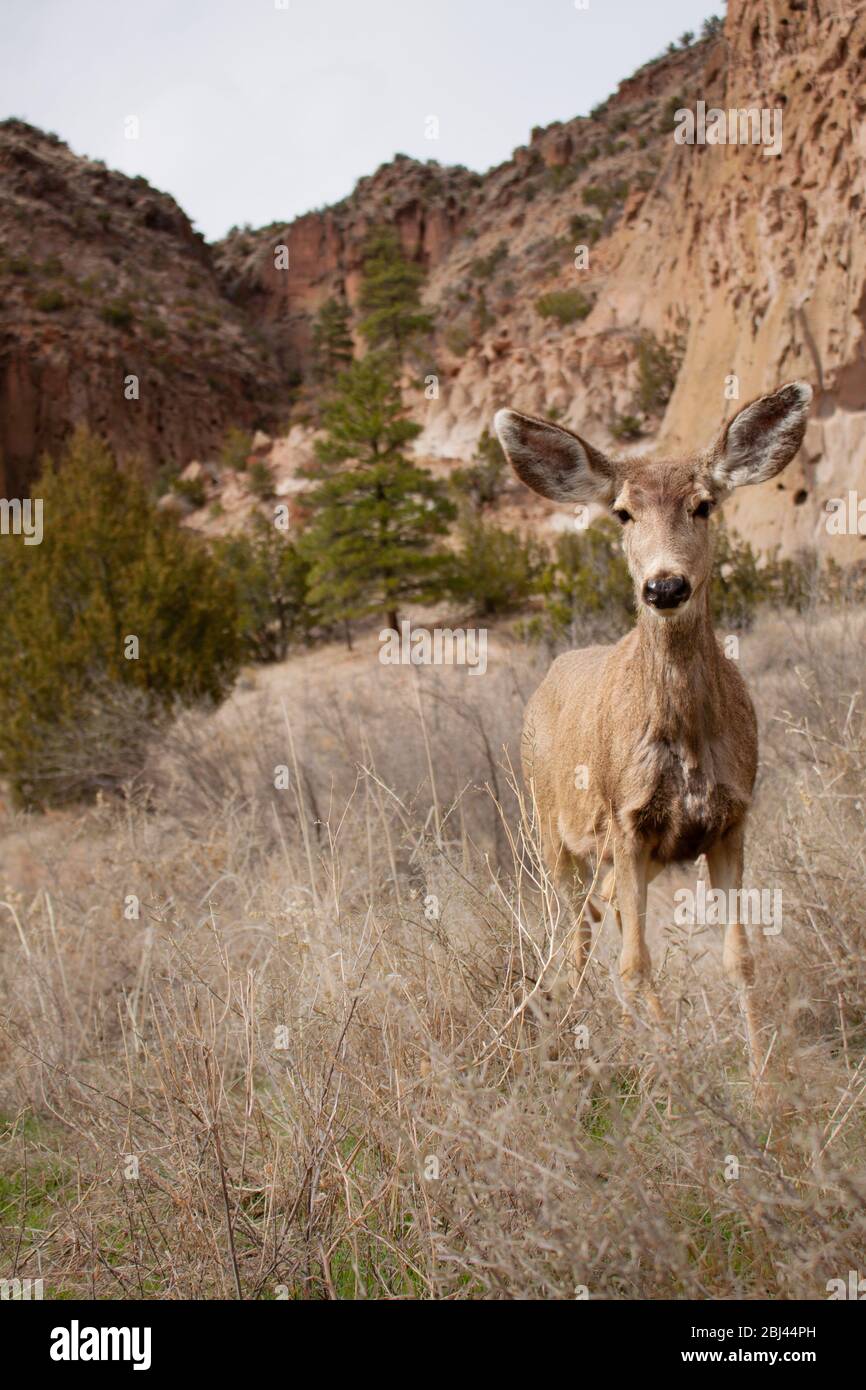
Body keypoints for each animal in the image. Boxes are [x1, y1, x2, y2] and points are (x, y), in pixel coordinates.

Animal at [494, 386, 811, 1067]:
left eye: (703, 505)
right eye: (622, 514)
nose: (664, 586)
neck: (685, 744)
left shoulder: (730, 819)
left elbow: (740, 958)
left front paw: (765, 1082)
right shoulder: (626, 819)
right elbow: (637, 962)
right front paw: (671, 1072)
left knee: (606, 909)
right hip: (548, 829)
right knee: (578, 928)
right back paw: (574, 1021)